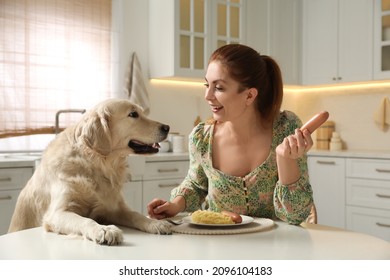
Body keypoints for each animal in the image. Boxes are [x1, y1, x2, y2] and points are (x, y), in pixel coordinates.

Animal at [7, 98, 171, 245]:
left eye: (142, 112)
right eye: (133, 114)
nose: (167, 127)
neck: (95, 164)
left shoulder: (114, 208)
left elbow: (135, 215)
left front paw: (155, 223)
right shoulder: (57, 213)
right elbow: (85, 220)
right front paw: (104, 230)